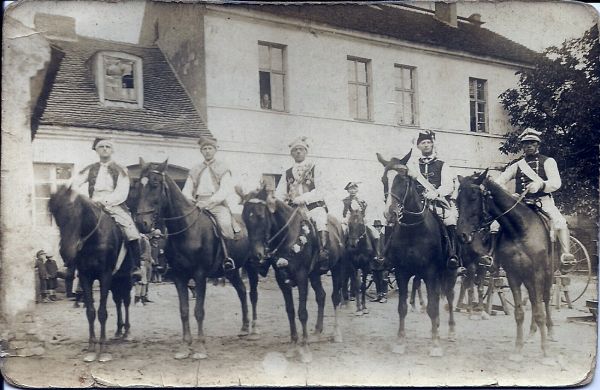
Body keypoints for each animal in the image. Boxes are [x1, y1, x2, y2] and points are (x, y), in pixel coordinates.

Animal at [48, 186, 135, 362]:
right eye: (55, 215)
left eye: (73, 212)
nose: (66, 253)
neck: (94, 239)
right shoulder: (85, 277)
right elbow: (90, 312)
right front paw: (91, 348)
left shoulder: (105, 276)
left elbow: (102, 312)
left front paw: (103, 349)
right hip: (115, 282)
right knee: (118, 301)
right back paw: (118, 331)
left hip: (125, 278)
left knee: (126, 301)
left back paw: (127, 332)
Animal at [135, 159, 258, 360]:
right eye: (138, 185)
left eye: (154, 184)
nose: (141, 223)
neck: (188, 230)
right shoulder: (179, 276)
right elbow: (184, 311)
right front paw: (185, 346)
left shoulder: (200, 276)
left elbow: (198, 311)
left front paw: (200, 348)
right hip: (232, 271)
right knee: (241, 291)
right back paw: (244, 328)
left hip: (252, 267)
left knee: (253, 294)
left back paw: (254, 329)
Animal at [238, 186, 344, 362]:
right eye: (244, 217)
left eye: (260, 216)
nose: (255, 256)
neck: (288, 235)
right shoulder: (282, 280)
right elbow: (290, 311)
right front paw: (293, 345)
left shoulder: (301, 278)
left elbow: (302, 312)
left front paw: (305, 349)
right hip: (314, 275)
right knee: (321, 296)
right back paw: (317, 332)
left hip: (338, 269)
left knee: (335, 297)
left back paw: (336, 334)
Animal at [378, 152, 458, 356]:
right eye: (384, 180)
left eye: (404, 180)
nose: (389, 213)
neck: (413, 231)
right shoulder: (402, 272)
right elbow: (402, 307)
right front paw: (400, 342)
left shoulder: (430, 272)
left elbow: (432, 308)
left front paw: (435, 345)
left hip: (450, 273)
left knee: (449, 298)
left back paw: (451, 331)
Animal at [458, 172, 556, 362]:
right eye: (457, 199)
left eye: (473, 197)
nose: (462, 234)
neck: (519, 229)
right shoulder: (513, 275)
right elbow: (519, 313)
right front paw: (518, 349)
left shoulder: (537, 273)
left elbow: (540, 311)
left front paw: (546, 352)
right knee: (534, 301)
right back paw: (531, 334)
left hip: (547, 274)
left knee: (545, 301)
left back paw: (550, 333)